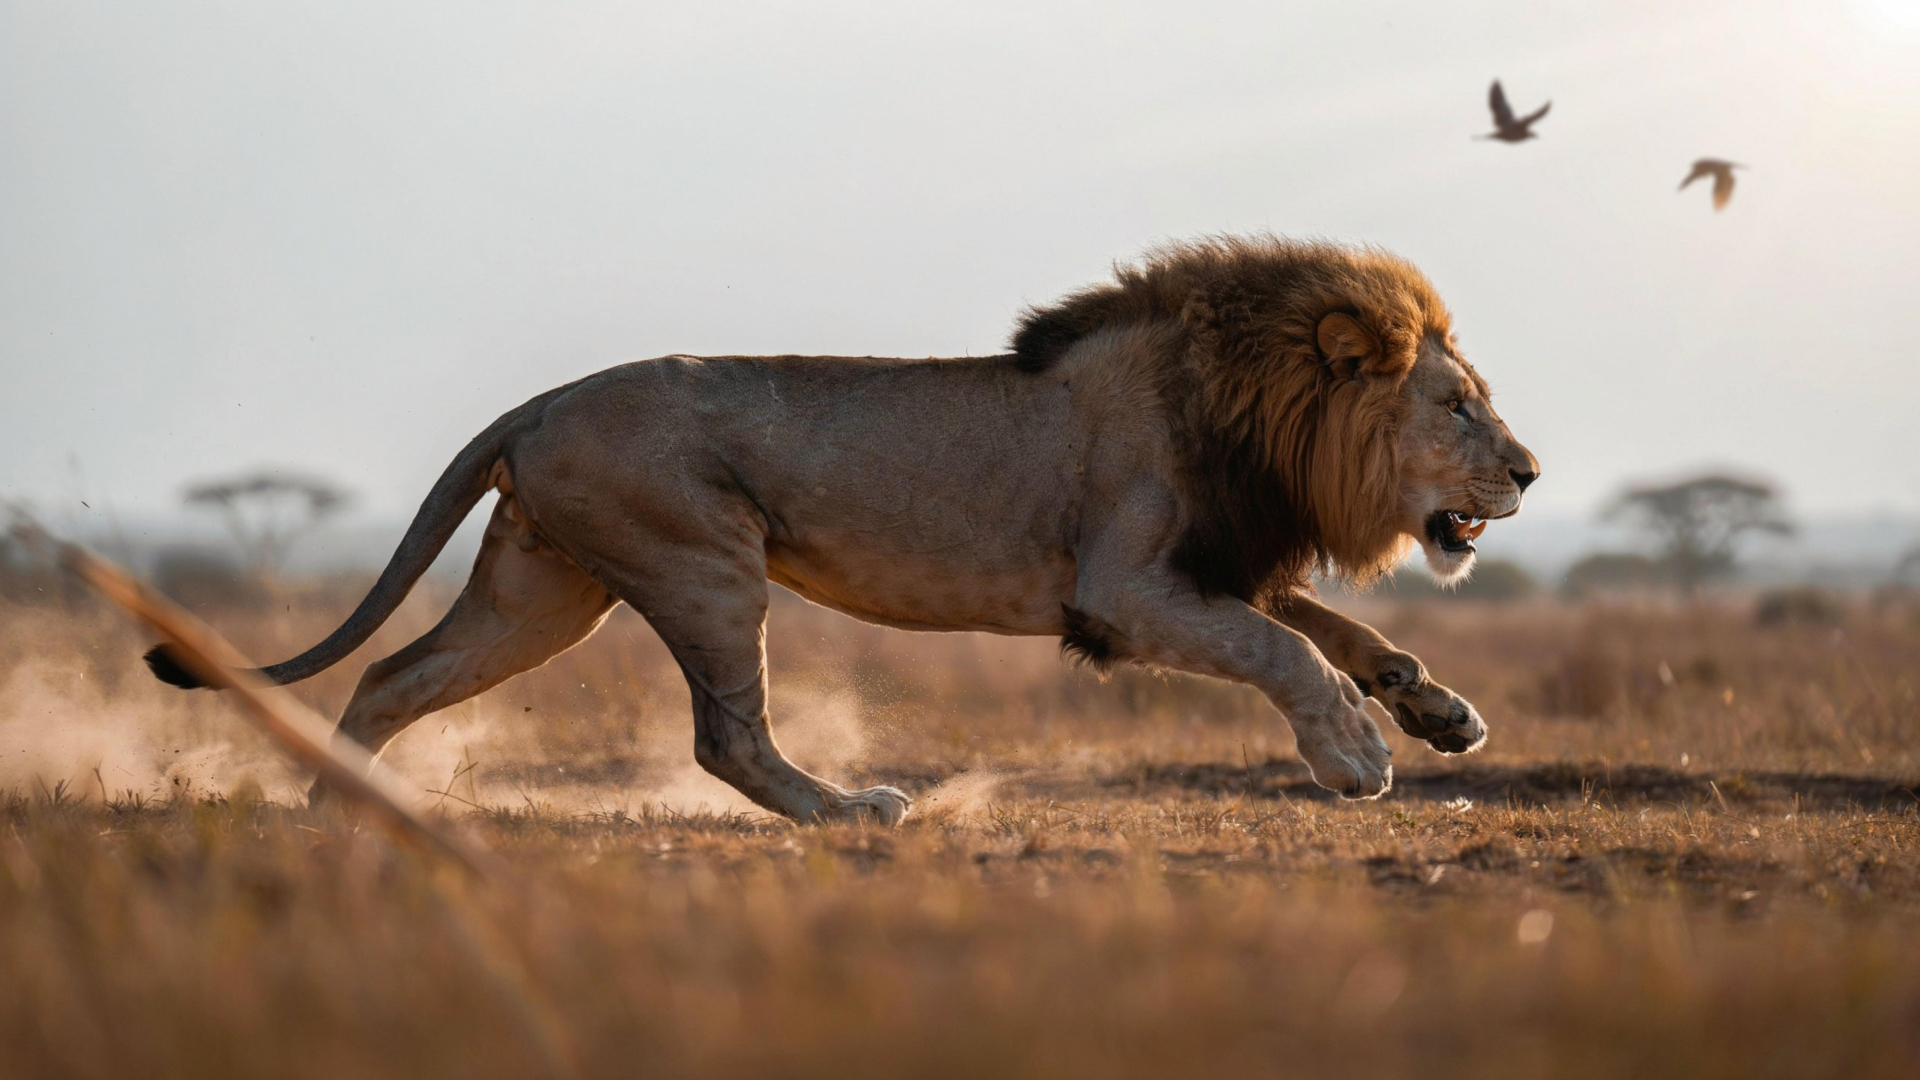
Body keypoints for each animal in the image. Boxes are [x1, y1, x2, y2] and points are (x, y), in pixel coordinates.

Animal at [145, 235, 1538, 823]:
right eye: (1459, 404)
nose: (1529, 471)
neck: (1255, 413)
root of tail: (539, 399)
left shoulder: (1214, 561)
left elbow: (1332, 624)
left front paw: (1440, 711)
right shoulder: (1124, 588)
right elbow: (1280, 647)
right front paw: (1355, 756)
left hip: (542, 587)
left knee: (394, 675)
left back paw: (345, 805)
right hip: (701, 564)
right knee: (725, 738)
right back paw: (855, 811)